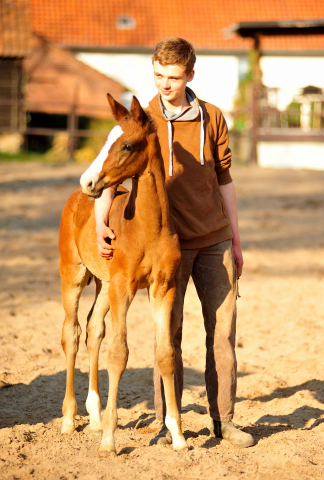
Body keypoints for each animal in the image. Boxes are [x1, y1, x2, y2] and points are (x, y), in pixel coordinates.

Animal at [59, 94, 189, 458]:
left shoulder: (163, 289)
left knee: (93, 330)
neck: (148, 227)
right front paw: (109, 441)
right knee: (72, 334)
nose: (88, 181)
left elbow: (165, 354)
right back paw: (69, 419)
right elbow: (119, 354)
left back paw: (93, 415)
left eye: (127, 145)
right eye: (106, 140)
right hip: (74, 277)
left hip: (105, 286)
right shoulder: (125, 288)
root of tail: (75, 199)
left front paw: (177, 435)